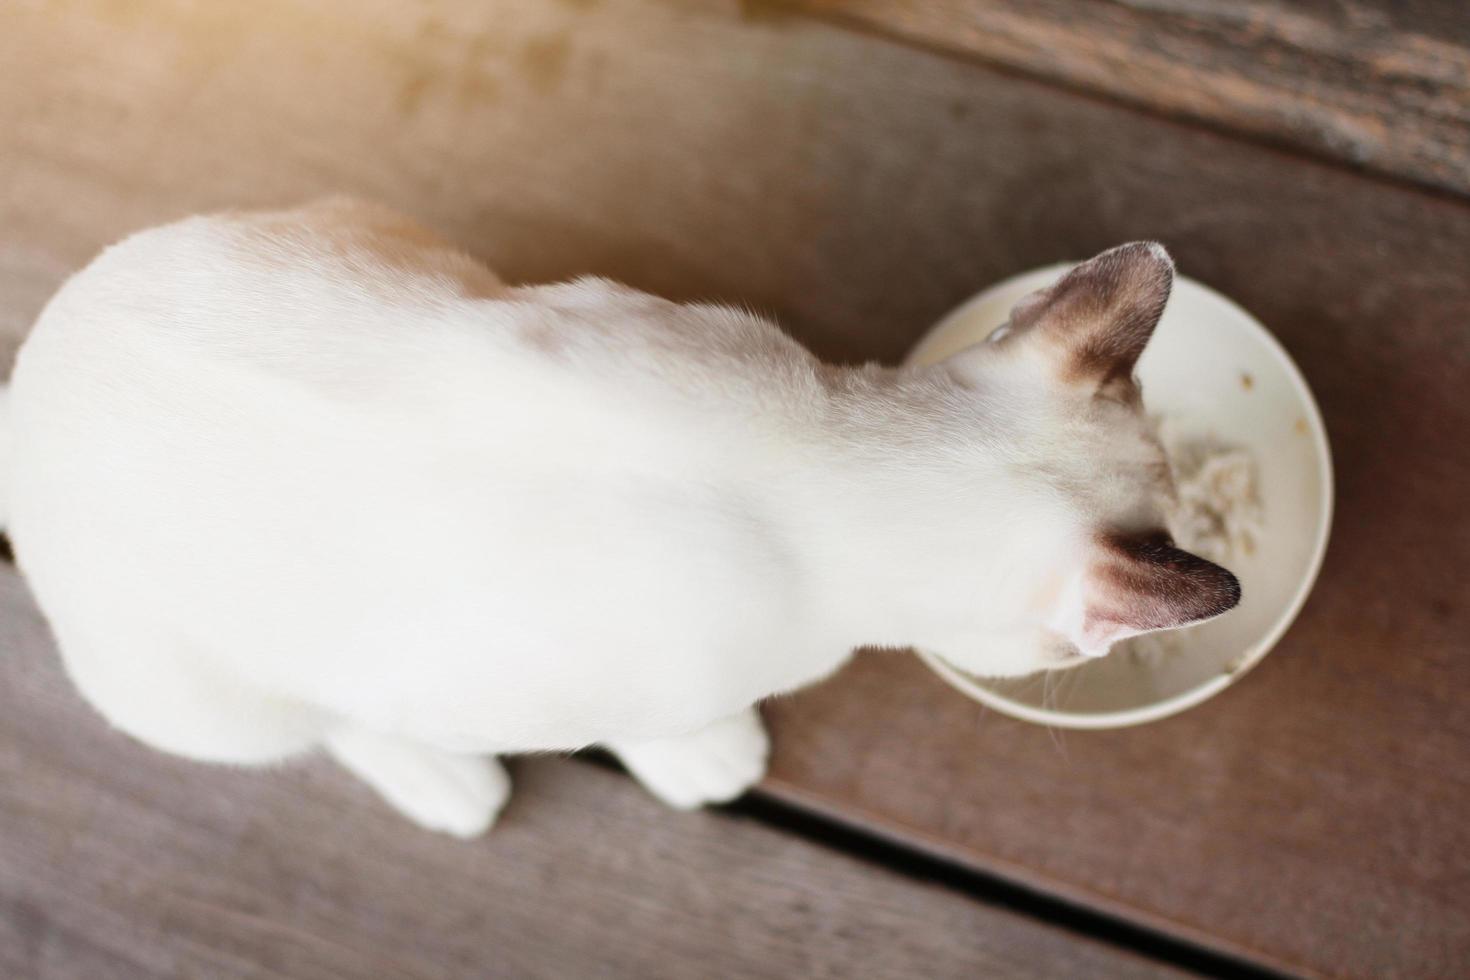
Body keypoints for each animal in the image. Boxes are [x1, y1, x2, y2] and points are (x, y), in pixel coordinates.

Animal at [2, 196, 1240, 834]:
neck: (825, 470)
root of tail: (22, 402)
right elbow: (651, 726)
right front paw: (705, 755)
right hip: (204, 697)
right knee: (324, 721)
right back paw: (446, 786)